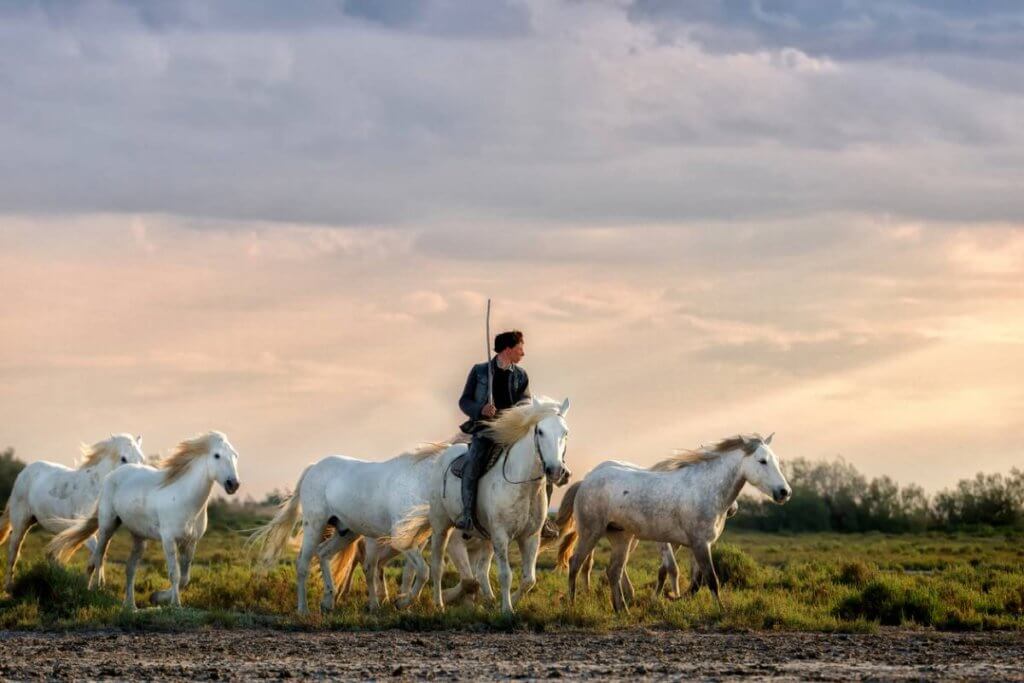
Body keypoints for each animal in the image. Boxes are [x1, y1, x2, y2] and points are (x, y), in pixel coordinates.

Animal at [0, 438, 146, 593]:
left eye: (141, 458)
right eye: (123, 458)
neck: (95, 490)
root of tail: (24, 473)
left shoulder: (98, 530)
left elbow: (97, 556)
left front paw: (92, 586)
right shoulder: (85, 530)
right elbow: (98, 554)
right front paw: (98, 585)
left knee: (51, 556)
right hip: (20, 523)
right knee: (14, 552)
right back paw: (9, 587)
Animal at [48, 432, 240, 610]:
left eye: (235, 455)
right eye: (217, 455)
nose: (233, 484)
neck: (185, 498)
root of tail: (112, 475)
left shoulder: (190, 542)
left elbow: (185, 578)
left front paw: (157, 597)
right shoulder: (168, 539)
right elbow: (174, 574)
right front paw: (175, 605)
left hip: (139, 537)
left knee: (130, 568)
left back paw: (130, 606)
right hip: (107, 526)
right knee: (98, 558)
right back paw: (92, 590)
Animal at [565, 432, 786, 614]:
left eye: (775, 460)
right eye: (762, 461)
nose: (784, 492)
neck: (705, 488)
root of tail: (586, 480)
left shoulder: (695, 544)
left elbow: (695, 581)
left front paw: (674, 598)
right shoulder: (699, 543)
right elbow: (710, 579)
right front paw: (721, 611)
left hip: (622, 537)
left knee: (613, 571)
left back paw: (623, 610)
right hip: (591, 532)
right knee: (575, 563)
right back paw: (573, 606)